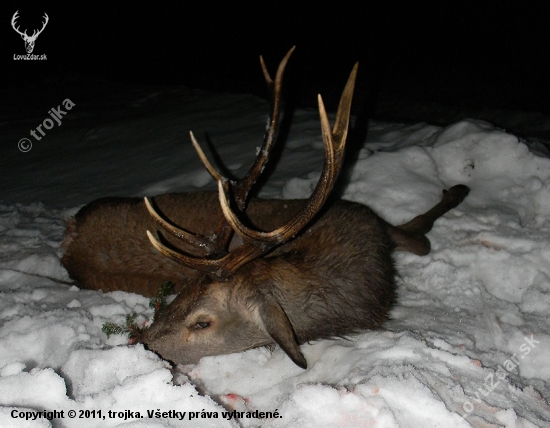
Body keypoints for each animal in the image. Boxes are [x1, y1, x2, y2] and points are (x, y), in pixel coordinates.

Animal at [63, 47, 470, 368]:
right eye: (182, 292)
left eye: (202, 322)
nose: (138, 344)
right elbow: (422, 236)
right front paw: (457, 190)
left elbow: (422, 238)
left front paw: (457, 189)